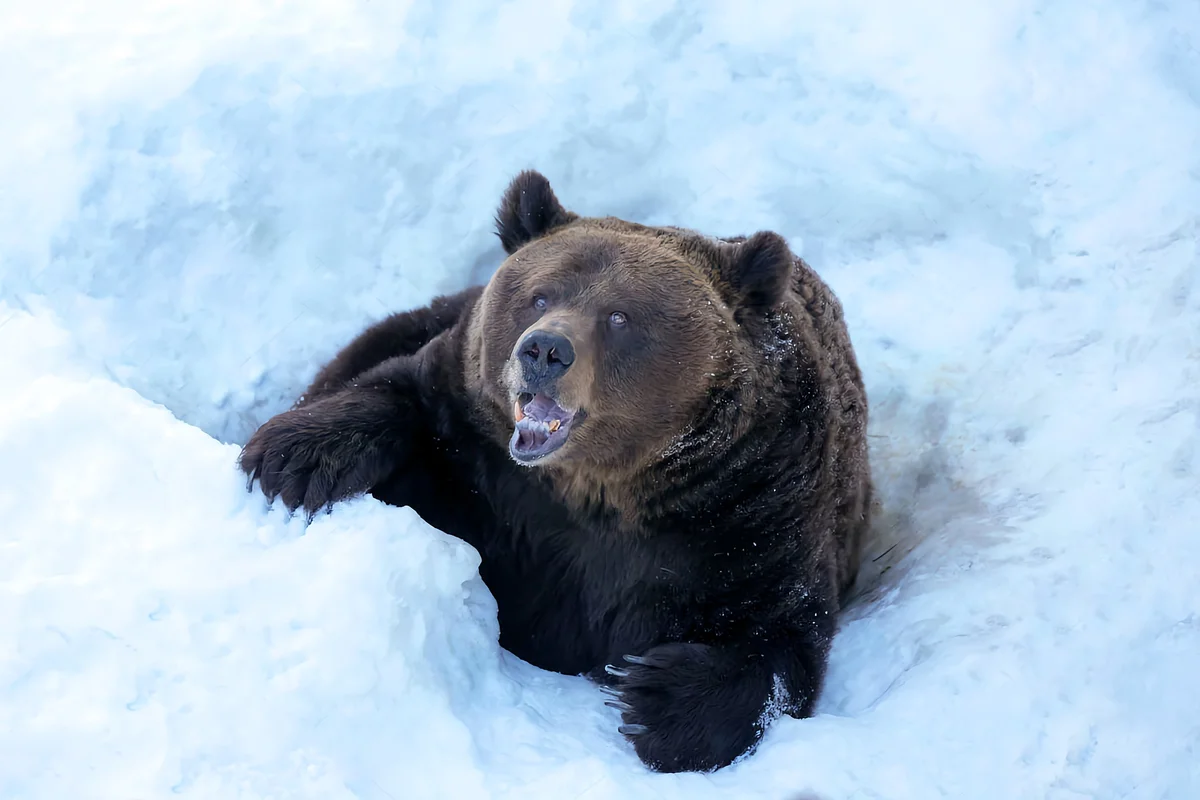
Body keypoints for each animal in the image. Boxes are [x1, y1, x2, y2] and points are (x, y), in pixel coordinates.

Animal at [236, 170, 873, 777]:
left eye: (619, 315)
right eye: (539, 296)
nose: (544, 350)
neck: (601, 489)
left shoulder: (754, 513)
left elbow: (781, 636)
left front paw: (652, 695)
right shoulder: (481, 461)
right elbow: (394, 392)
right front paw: (292, 459)